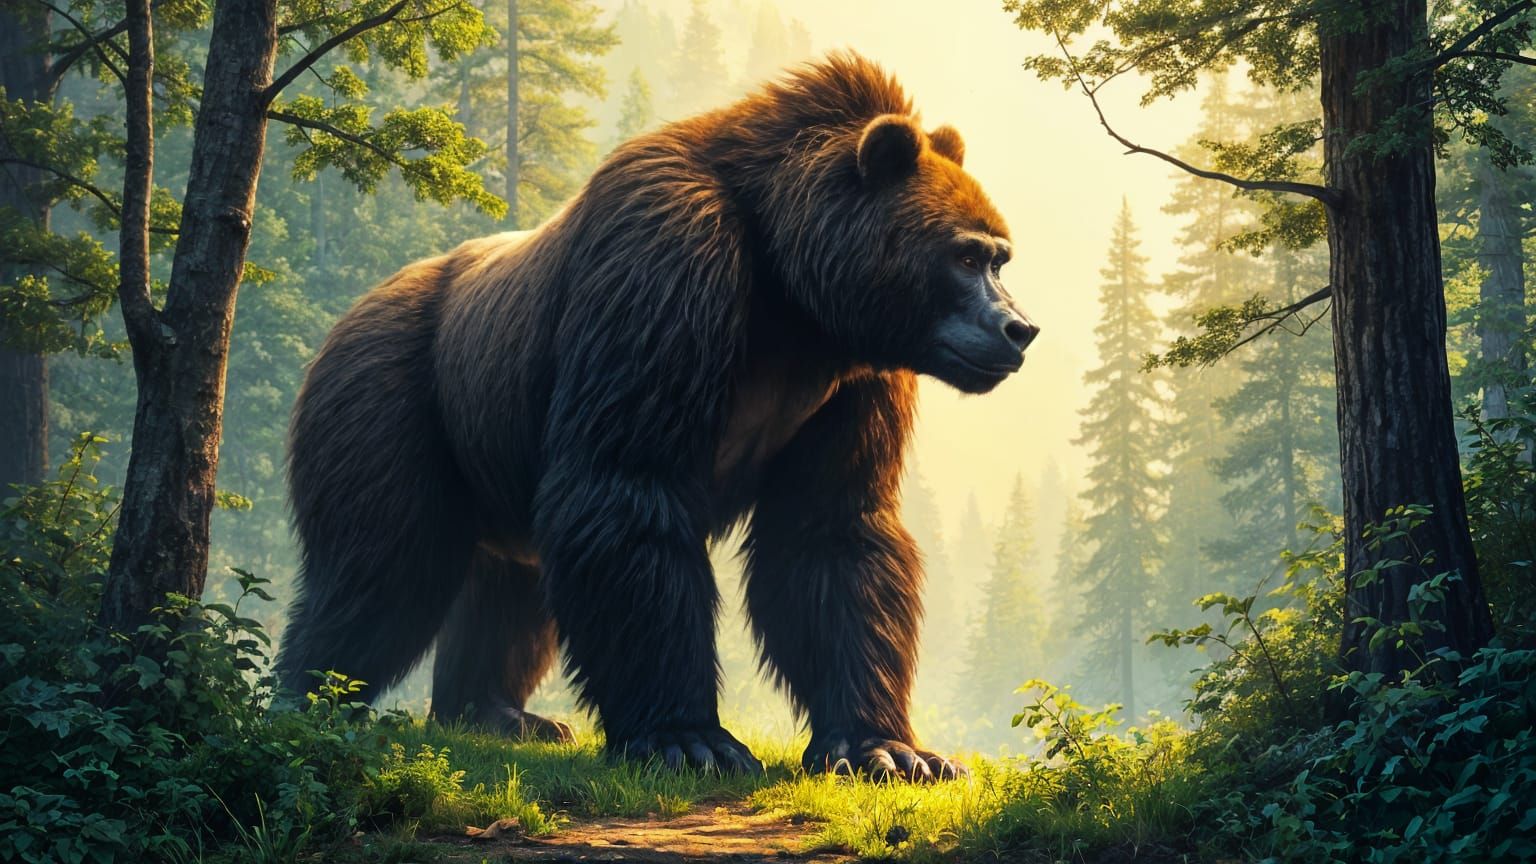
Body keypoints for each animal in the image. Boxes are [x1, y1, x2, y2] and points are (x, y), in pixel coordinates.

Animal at [275, 51, 1038, 781]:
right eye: (966, 255)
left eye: (1000, 255)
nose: (1019, 328)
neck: (791, 296)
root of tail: (350, 313)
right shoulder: (663, 274)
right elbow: (629, 489)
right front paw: (690, 739)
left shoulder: (846, 386)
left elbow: (831, 537)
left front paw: (889, 750)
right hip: (399, 392)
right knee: (380, 567)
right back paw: (310, 701)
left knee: (509, 589)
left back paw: (500, 713)